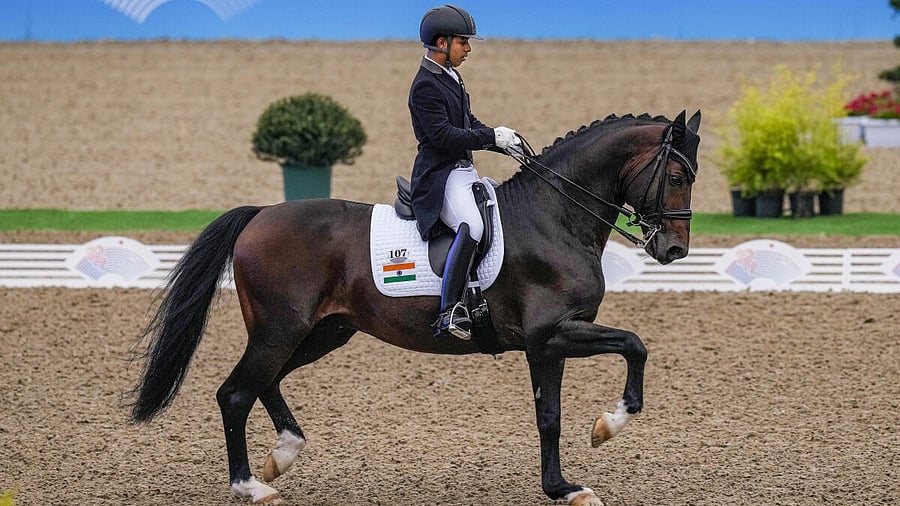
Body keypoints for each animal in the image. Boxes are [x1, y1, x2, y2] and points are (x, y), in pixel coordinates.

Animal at [129, 110, 702, 506]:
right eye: (676, 177)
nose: (674, 251)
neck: (554, 216)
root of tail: (261, 214)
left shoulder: (553, 341)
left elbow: (552, 412)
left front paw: (565, 483)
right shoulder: (551, 335)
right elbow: (631, 348)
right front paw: (605, 431)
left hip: (322, 331)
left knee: (263, 383)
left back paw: (283, 455)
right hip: (282, 331)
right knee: (235, 393)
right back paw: (251, 486)